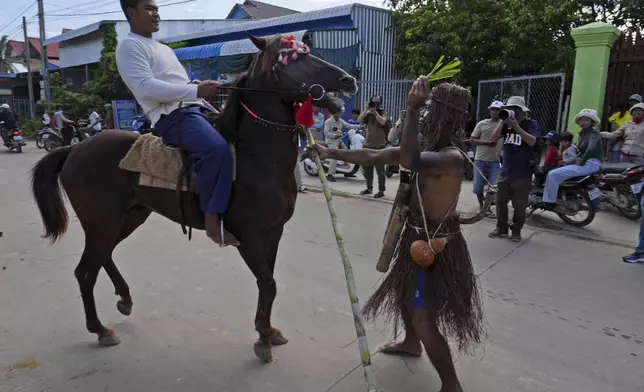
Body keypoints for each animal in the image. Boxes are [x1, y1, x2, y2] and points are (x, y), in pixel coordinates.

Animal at [30, 35, 358, 362]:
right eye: (294, 59)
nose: (349, 80)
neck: (256, 157)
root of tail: (74, 149)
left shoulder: (273, 233)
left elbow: (268, 283)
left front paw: (267, 331)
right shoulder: (248, 236)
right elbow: (268, 283)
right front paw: (263, 340)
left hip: (130, 217)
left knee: (104, 257)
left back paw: (124, 299)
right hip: (102, 223)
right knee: (85, 272)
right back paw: (99, 329)